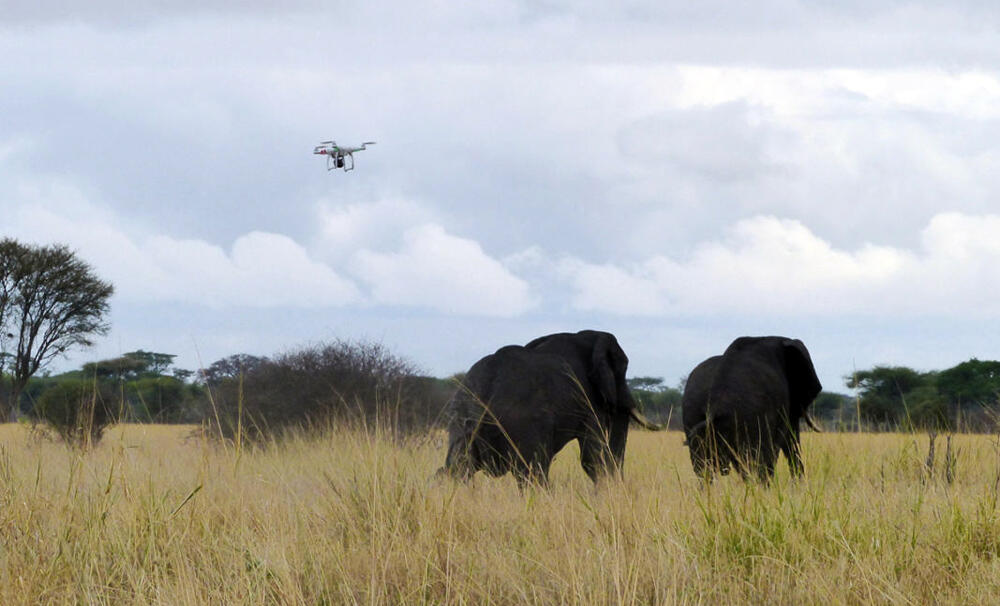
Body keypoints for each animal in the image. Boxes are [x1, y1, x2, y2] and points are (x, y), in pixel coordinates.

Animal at [440, 330, 664, 486]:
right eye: (622, 370)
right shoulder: (588, 400)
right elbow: (593, 457)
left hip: (459, 419)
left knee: (455, 469)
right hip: (523, 423)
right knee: (533, 474)